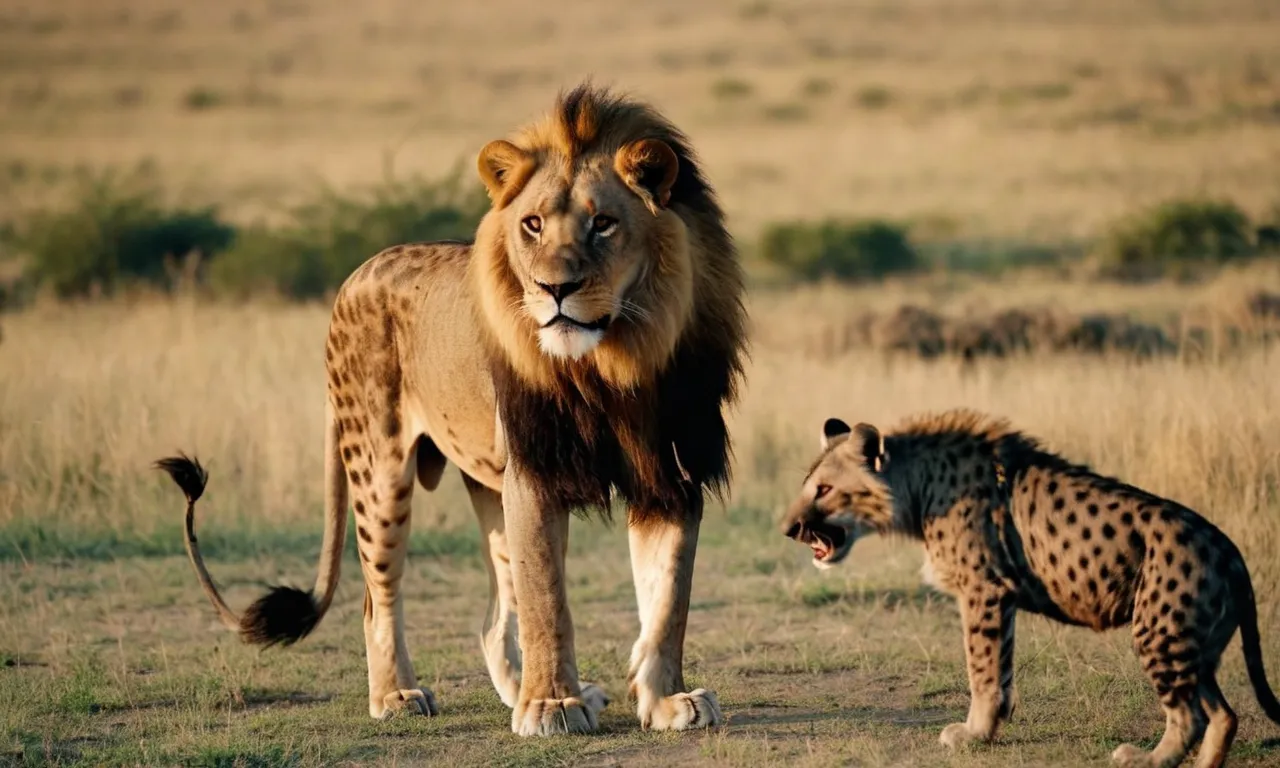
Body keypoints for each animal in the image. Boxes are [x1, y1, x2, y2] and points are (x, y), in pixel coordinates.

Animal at [155, 83, 746, 736]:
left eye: (604, 224)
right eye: (532, 225)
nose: (554, 289)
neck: (614, 364)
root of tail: (356, 273)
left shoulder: (670, 471)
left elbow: (667, 600)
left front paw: (666, 699)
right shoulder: (535, 469)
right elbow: (548, 600)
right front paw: (553, 706)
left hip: (488, 487)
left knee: (491, 621)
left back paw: (519, 694)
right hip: (380, 472)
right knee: (377, 599)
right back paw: (398, 696)